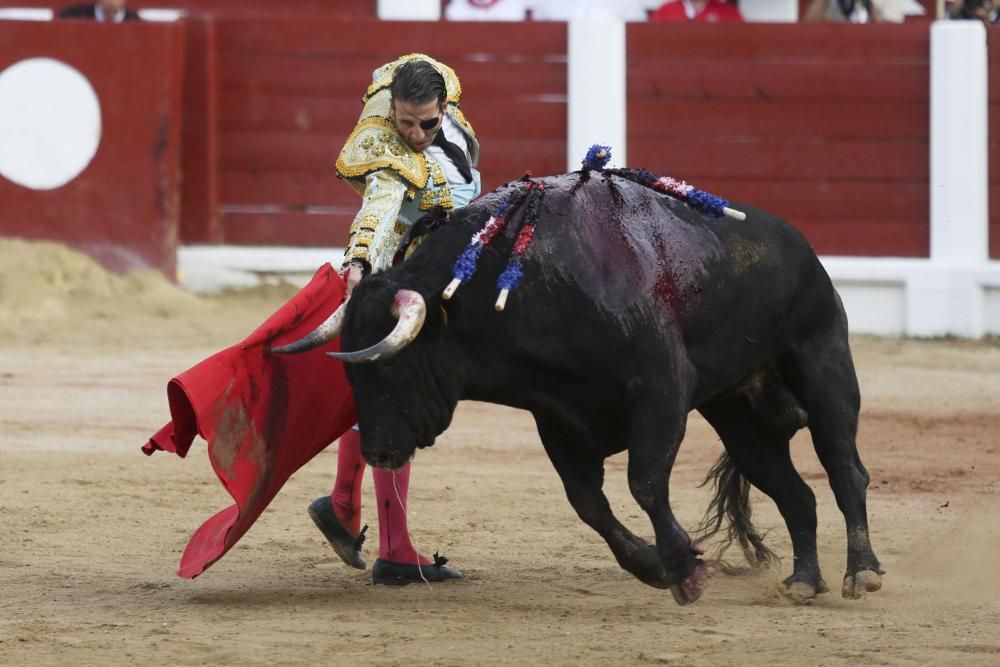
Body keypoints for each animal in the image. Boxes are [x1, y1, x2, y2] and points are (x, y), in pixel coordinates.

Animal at [284, 171, 884, 604]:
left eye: (389, 367)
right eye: (351, 373)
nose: (379, 451)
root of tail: (801, 247)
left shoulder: (661, 387)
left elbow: (644, 482)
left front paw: (686, 571)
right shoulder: (558, 416)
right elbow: (588, 503)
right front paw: (653, 566)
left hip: (822, 359)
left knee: (843, 467)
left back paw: (861, 573)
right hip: (739, 416)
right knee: (794, 492)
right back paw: (805, 581)